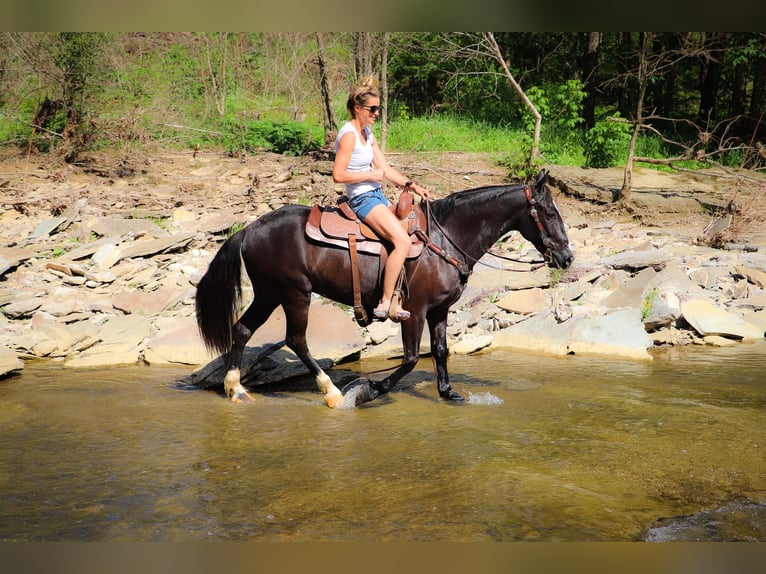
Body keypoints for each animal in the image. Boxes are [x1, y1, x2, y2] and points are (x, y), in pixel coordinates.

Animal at [195, 171, 572, 410]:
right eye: (549, 212)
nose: (567, 257)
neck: (446, 237)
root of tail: (248, 229)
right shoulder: (414, 311)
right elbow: (409, 359)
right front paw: (369, 391)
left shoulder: (439, 311)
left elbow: (440, 352)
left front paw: (448, 393)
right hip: (294, 293)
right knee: (296, 340)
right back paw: (332, 393)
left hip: (269, 293)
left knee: (242, 329)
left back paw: (235, 389)